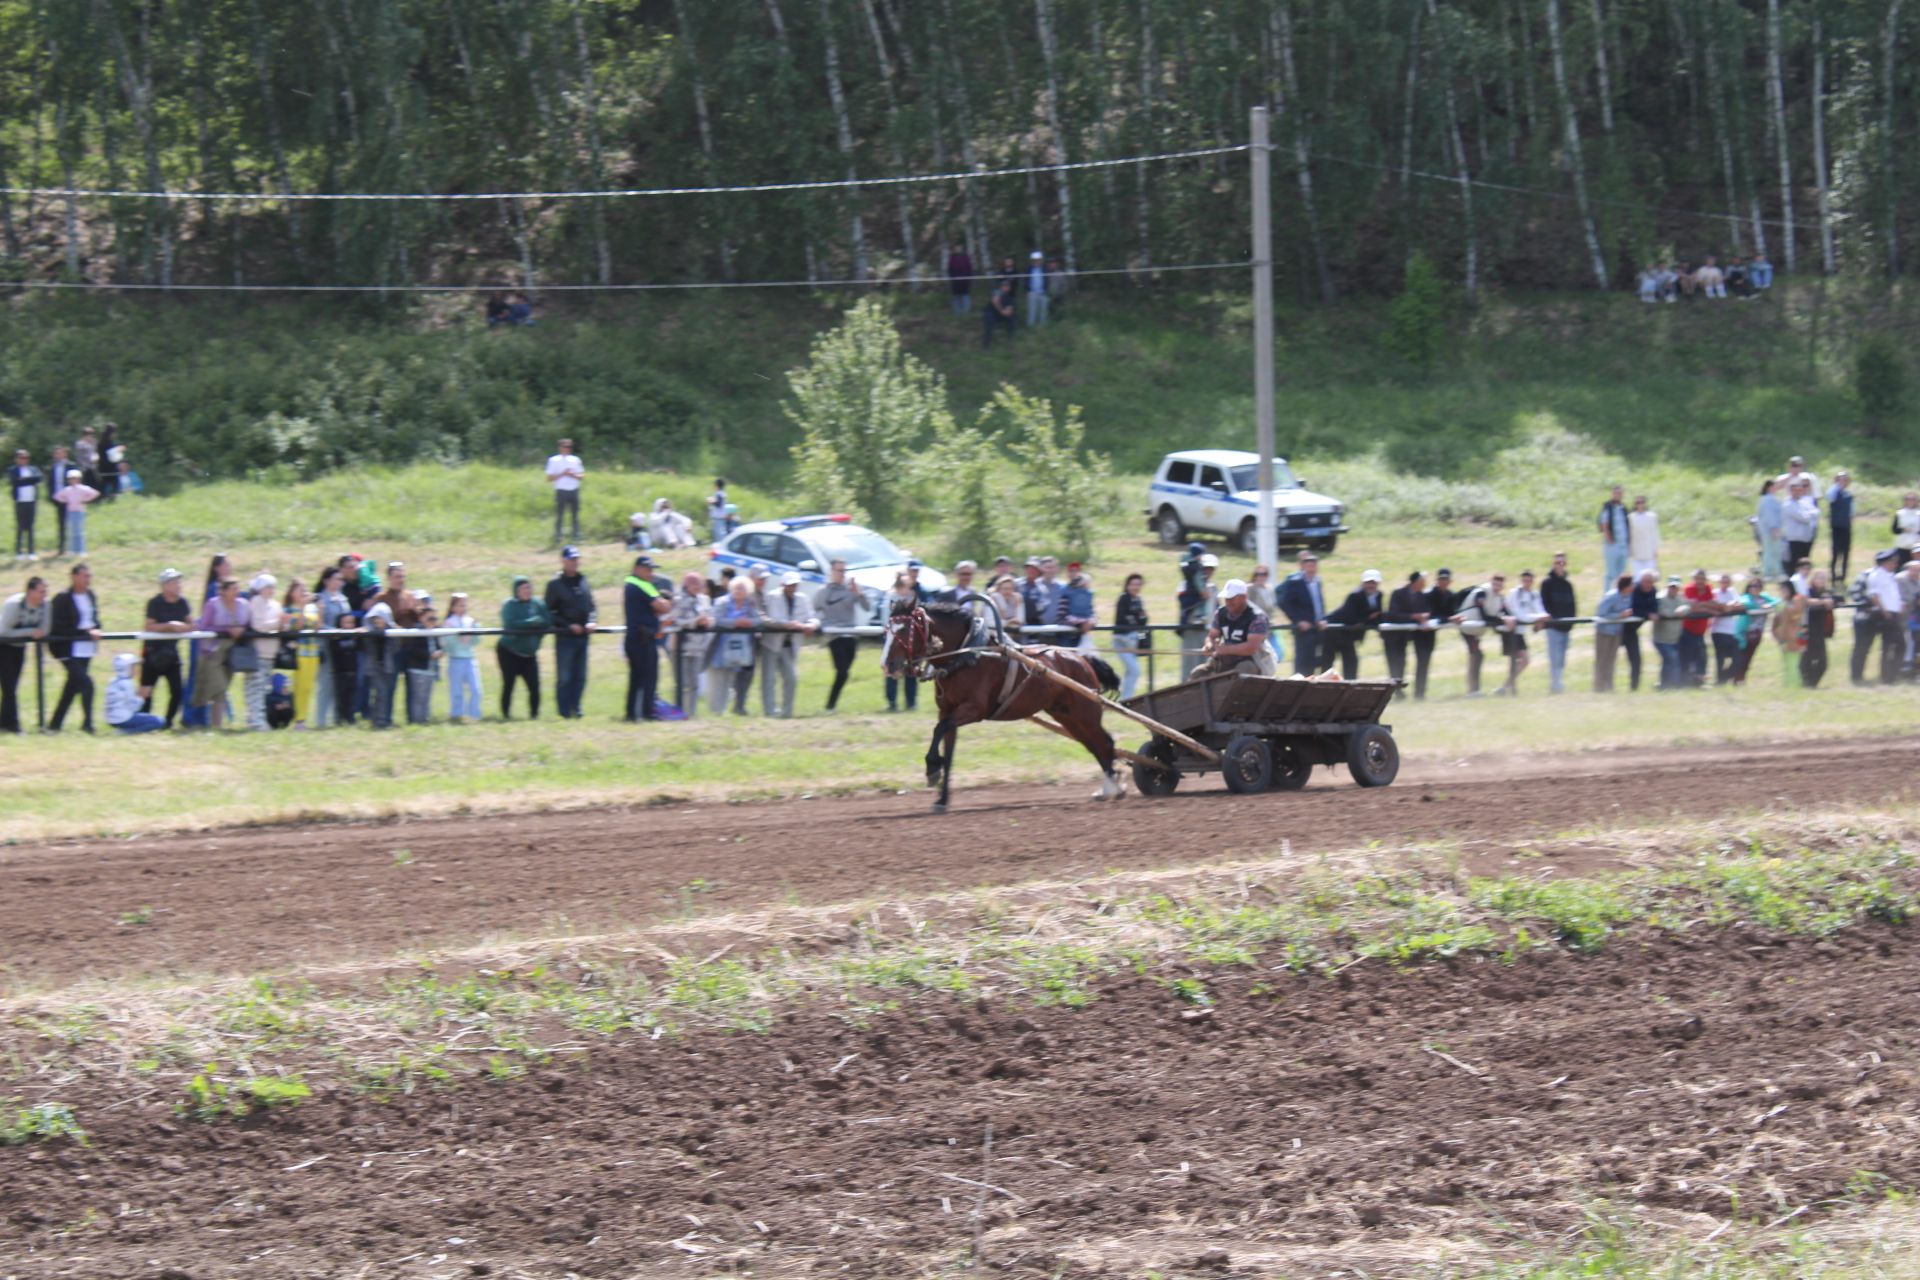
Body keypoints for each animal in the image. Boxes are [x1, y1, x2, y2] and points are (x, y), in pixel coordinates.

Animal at [883, 598, 1121, 817]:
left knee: (1105, 743)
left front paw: (932, 767)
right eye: (887, 630)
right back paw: (1110, 787)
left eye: (904, 629)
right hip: (1067, 716)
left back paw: (1112, 787)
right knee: (1093, 745)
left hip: (1086, 713)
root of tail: (1082, 659)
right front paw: (942, 799)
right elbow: (948, 751)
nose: (887, 665)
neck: (967, 655)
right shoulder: (947, 711)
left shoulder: (973, 710)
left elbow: (939, 729)